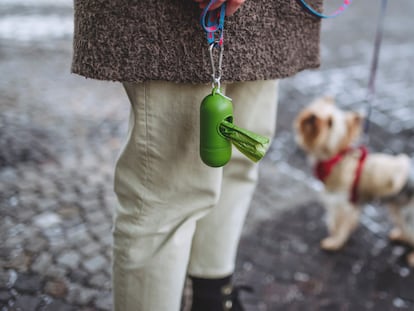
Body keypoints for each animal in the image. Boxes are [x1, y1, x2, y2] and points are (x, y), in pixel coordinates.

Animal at [292, 97, 414, 266]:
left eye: (330, 122)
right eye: (316, 110)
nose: (312, 117)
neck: (335, 160)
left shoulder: (343, 204)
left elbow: (339, 225)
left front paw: (334, 242)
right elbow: (338, 222)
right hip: (399, 208)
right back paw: (400, 235)